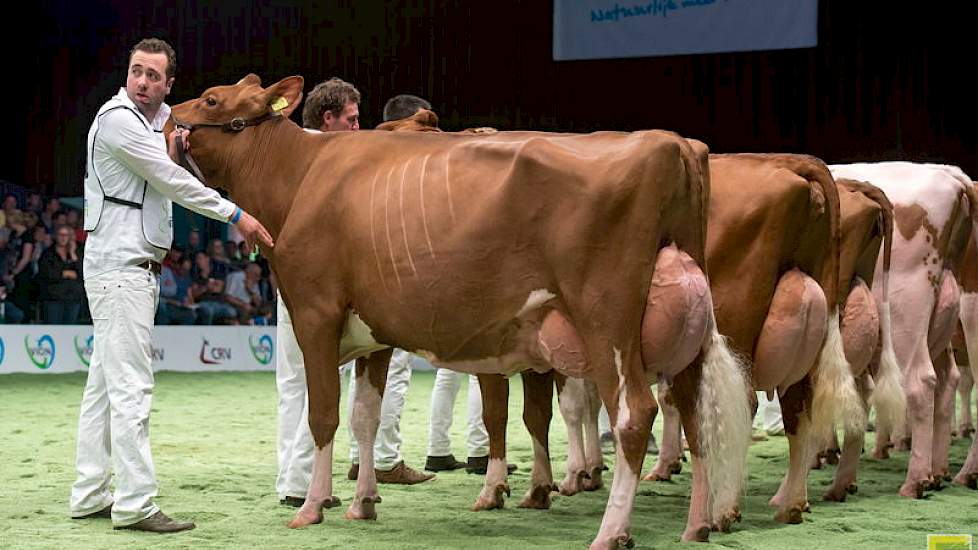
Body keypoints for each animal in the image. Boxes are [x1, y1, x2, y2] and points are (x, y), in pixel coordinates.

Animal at [168, 75, 752, 548]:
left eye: (212, 99)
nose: (169, 117)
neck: (302, 175)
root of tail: (667, 143)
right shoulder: (374, 331)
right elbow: (365, 417)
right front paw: (363, 503)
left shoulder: (316, 311)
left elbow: (325, 415)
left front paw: (312, 508)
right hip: (683, 335)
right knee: (694, 414)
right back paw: (698, 524)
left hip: (605, 317)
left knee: (634, 414)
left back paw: (611, 531)